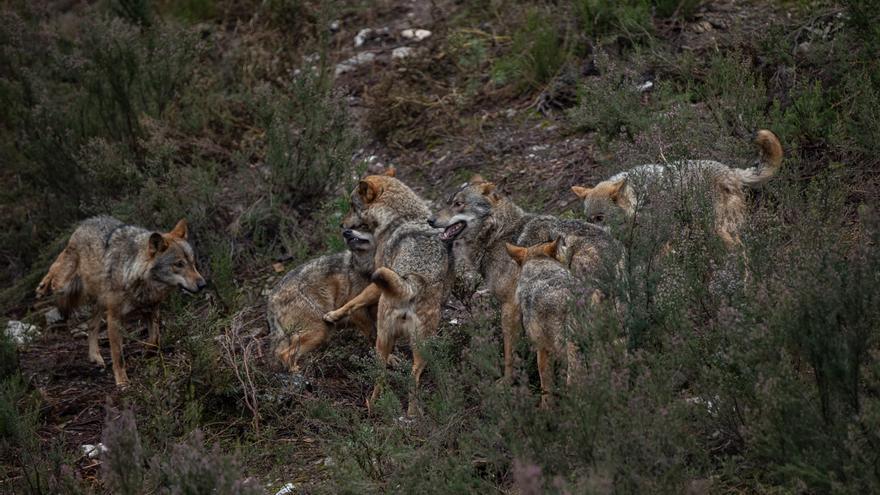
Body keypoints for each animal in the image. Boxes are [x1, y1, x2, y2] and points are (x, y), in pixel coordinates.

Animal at [35, 217, 205, 388]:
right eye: (179, 264)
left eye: (192, 262)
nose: (203, 284)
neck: (133, 274)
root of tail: (87, 221)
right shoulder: (115, 318)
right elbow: (118, 355)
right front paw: (122, 381)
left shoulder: (151, 311)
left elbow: (155, 340)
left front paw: (146, 353)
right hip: (64, 286)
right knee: (55, 267)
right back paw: (42, 287)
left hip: (100, 303)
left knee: (92, 326)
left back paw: (95, 357)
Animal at [268, 227, 378, 374]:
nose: (346, 232)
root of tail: (271, 300)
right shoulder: (357, 311)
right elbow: (374, 336)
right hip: (320, 331)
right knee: (284, 354)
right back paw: (298, 372)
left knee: (280, 352)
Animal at [572, 128, 784, 248]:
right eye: (588, 219)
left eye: (600, 218)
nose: (590, 234)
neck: (640, 200)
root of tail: (730, 171)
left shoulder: (662, 238)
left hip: (717, 229)